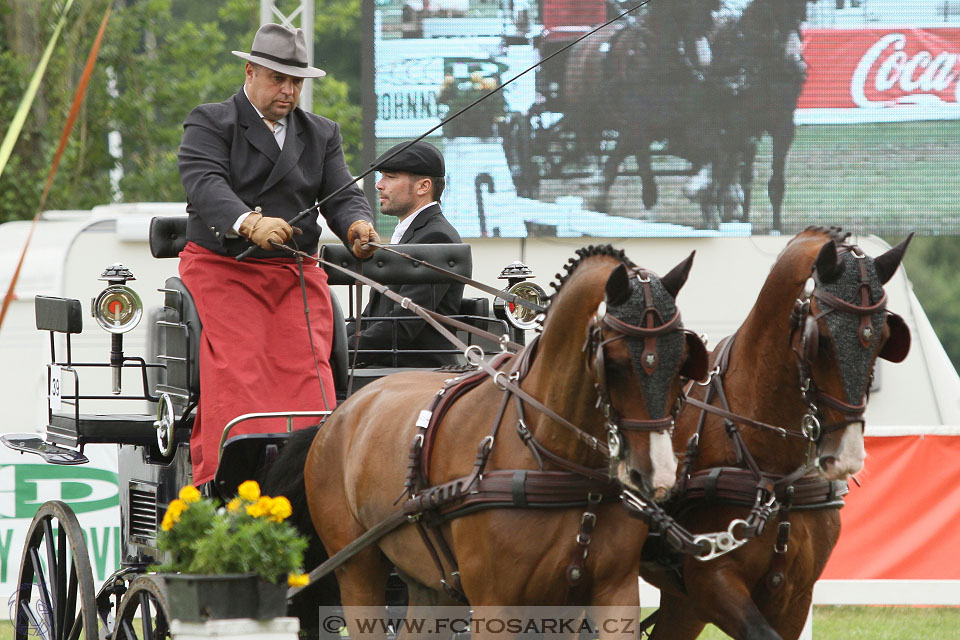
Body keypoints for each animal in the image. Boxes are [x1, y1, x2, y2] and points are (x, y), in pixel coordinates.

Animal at [292, 246, 704, 632]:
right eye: (614, 362)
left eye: (683, 358)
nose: (657, 475)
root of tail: (343, 412)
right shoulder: (496, 602)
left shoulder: (607, 595)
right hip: (357, 569)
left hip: (431, 585)